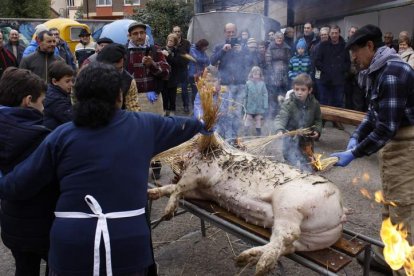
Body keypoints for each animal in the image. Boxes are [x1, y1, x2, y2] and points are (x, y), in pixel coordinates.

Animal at [149, 134, 346, 276]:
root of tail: (341, 210)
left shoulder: (198, 174)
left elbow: (178, 188)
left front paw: (167, 214)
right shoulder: (201, 192)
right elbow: (173, 188)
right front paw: (152, 193)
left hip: (290, 205)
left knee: (287, 236)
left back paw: (259, 266)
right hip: (310, 240)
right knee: (286, 245)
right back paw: (242, 259)